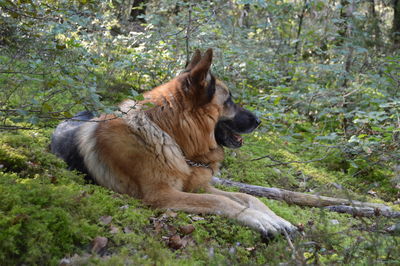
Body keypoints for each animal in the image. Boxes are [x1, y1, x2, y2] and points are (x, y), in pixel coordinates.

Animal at [51, 48, 296, 238]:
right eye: (228, 101)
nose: (259, 121)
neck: (167, 135)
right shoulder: (162, 195)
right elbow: (220, 202)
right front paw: (256, 219)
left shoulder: (198, 186)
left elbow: (247, 196)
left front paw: (276, 218)